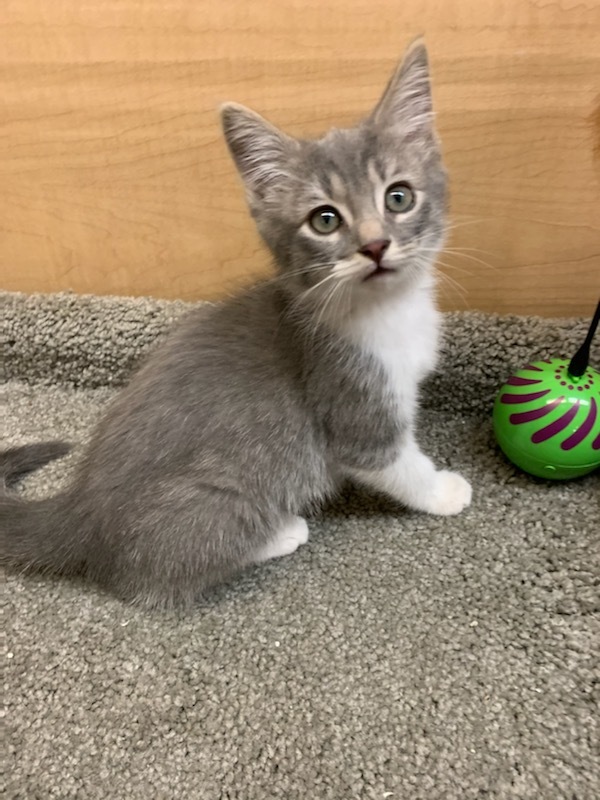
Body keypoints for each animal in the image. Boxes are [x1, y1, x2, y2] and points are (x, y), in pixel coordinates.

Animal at [2, 40, 474, 608]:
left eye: (398, 196)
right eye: (325, 219)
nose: (376, 244)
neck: (384, 310)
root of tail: (81, 512)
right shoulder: (352, 400)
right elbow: (396, 463)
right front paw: (443, 491)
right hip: (216, 498)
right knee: (159, 571)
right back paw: (279, 532)